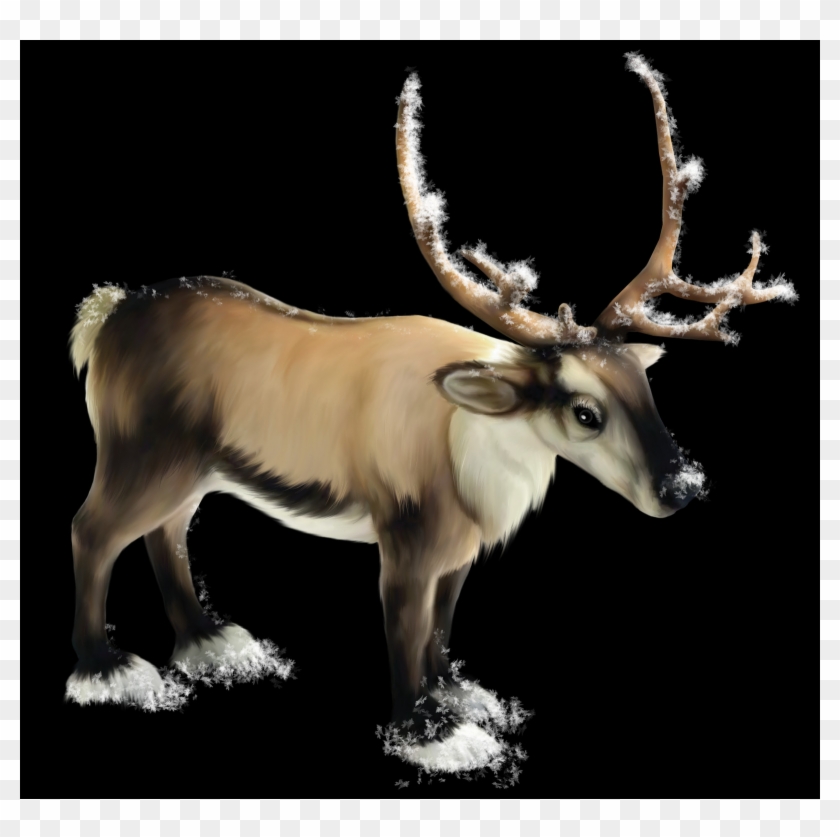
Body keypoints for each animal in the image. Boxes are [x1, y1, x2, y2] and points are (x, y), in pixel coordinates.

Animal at [65, 54, 795, 772]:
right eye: (585, 412)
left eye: (646, 388)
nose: (683, 487)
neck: (472, 452)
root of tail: (105, 316)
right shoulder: (406, 538)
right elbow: (406, 632)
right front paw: (429, 732)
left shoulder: (460, 548)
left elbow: (443, 626)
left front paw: (457, 694)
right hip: (141, 450)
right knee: (93, 528)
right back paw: (106, 667)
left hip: (195, 468)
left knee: (167, 531)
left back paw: (210, 640)